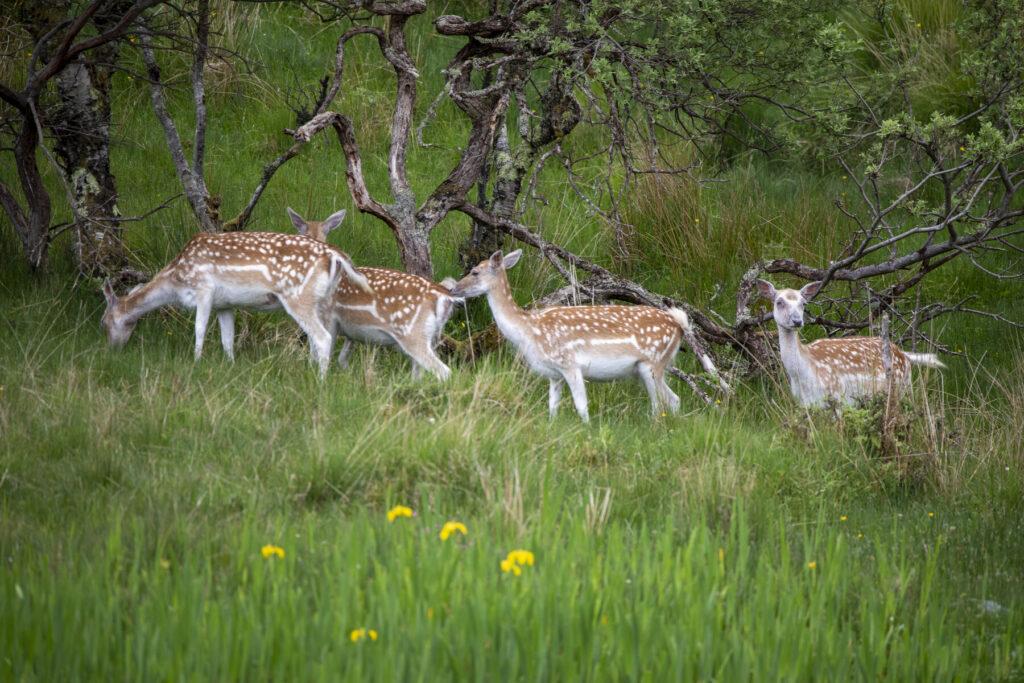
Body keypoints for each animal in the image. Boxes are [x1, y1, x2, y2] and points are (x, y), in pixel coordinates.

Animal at [98, 232, 372, 376]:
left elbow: (199, 328)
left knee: (323, 337)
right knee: (320, 337)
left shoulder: (204, 288)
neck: (176, 277)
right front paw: (229, 365)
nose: (111, 349)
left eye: (103, 321)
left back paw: (320, 380)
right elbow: (227, 338)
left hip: (298, 296)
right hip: (323, 300)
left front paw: (196, 362)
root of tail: (336, 256)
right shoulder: (224, 304)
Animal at [288, 205, 464, 382]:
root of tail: (444, 295)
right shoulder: (351, 330)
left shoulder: (328, 316)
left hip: (413, 333)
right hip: (431, 336)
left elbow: (320, 350)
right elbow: (342, 358)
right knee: (419, 373)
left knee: (444, 371)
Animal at [446, 250, 688, 421]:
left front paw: (587, 430)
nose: (453, 289)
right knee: (674, 399)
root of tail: (679, 325)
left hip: (653, 362)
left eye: (475, 272)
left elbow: (581, 406)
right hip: (650, 368)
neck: (529, 330)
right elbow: (552, 407)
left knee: (659, 404)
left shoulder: (570, 364)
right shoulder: (554, 373)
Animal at [757, 278, 946, 405]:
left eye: (803, 303)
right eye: (779, 302)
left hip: (900, 388)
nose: (797, 321)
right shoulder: (805, 404)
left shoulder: (837, 397)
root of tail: (904, 355)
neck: (803, 374)